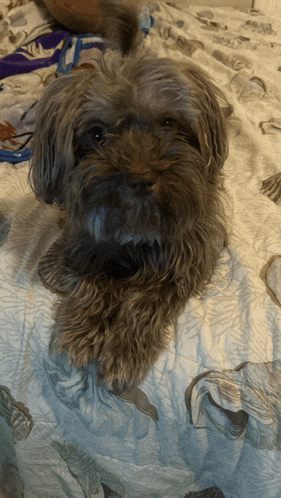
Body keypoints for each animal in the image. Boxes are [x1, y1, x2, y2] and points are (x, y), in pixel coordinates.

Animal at [27, 48, 230, 392]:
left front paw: (125, 350)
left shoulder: (187, 260)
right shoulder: (82, 248)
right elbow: (94, 283)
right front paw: (84, 330)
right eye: (97, 133)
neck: (137, 226)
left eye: (168, 122)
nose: (140, 178)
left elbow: (147, 302)